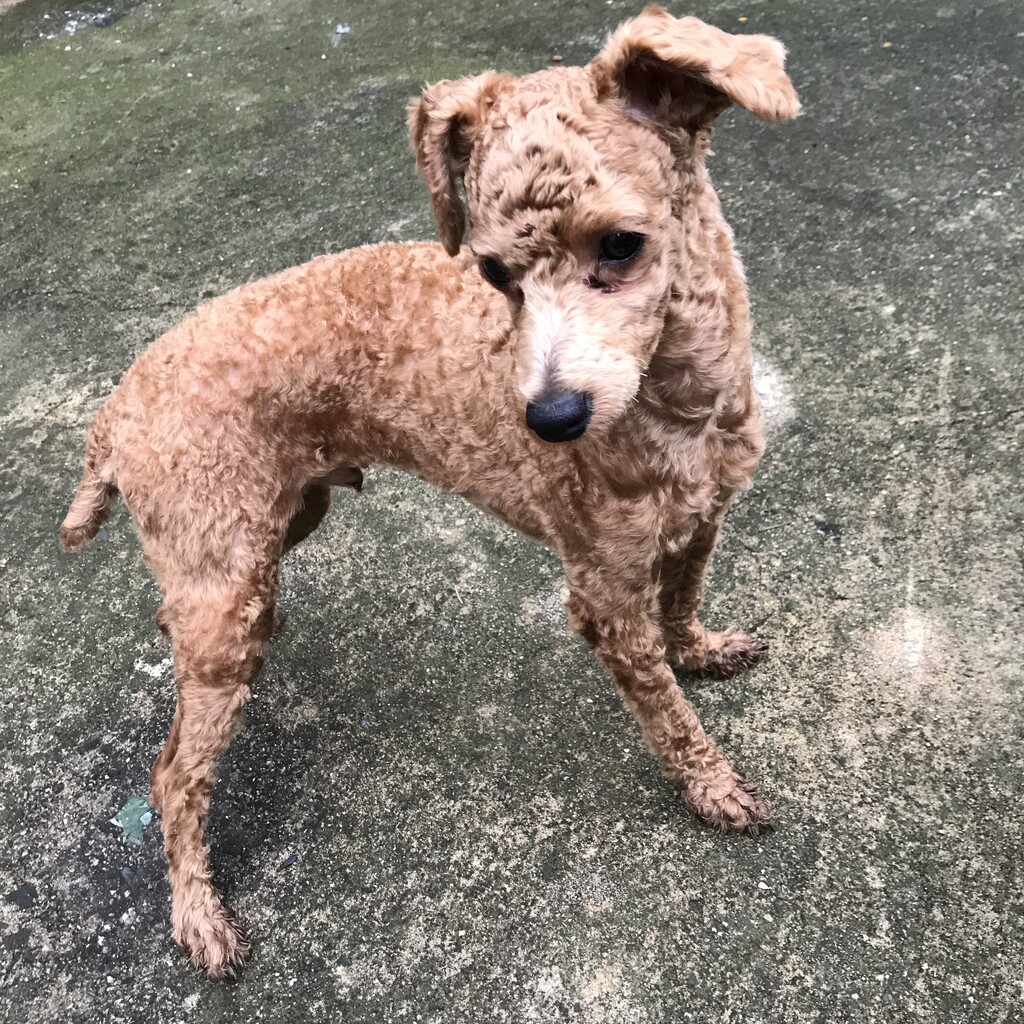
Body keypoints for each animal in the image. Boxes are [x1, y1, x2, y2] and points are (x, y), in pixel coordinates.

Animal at [61, 6, 799, 978]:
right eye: (493, 276)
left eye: (621, 245)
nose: (551, 419)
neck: (677, 401)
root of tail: (113, 412)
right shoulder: (602, 595)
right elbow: (668, 716)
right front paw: (711, 786)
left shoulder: (700, 521)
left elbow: (683, 605)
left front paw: (700, 650)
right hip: (228, 597)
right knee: (175, 775)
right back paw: (197, 914)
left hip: (265, 535)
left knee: (181, 628)